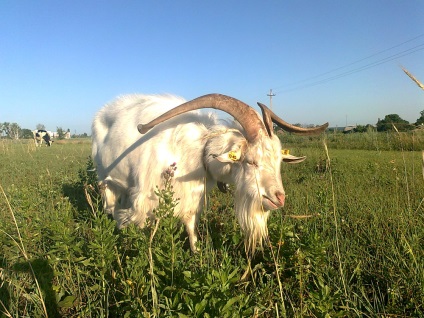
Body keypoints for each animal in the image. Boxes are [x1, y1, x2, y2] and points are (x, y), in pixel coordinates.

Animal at [91, 92, 326, 253]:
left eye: (279, 162)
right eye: (251, 161)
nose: (279, 198)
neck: (199, 150)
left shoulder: (192, 198)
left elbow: (191, 228)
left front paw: (196, 255)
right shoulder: (143, 201)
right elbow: (142, 230)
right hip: (104, 178)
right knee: (109, 203)